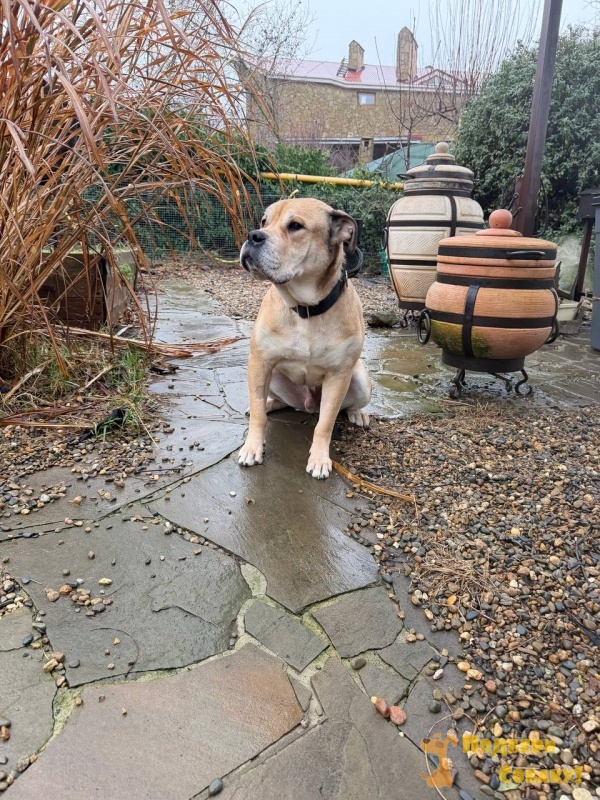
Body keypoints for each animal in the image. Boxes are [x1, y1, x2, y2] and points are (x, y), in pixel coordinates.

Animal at [238, 198, 372, 479]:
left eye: (295, 226)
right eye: (264, 221)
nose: (253, 235)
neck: (306, 309)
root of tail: (307, 405)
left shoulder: (339, 376)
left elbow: (325, 424)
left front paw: (319, 459)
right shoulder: (260, 362)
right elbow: (258, 417)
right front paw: (252, 447)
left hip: (359, 379)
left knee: (343, 407)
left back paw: (358, 414)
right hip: (272, 375)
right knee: (270, 402)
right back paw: (267, 404)